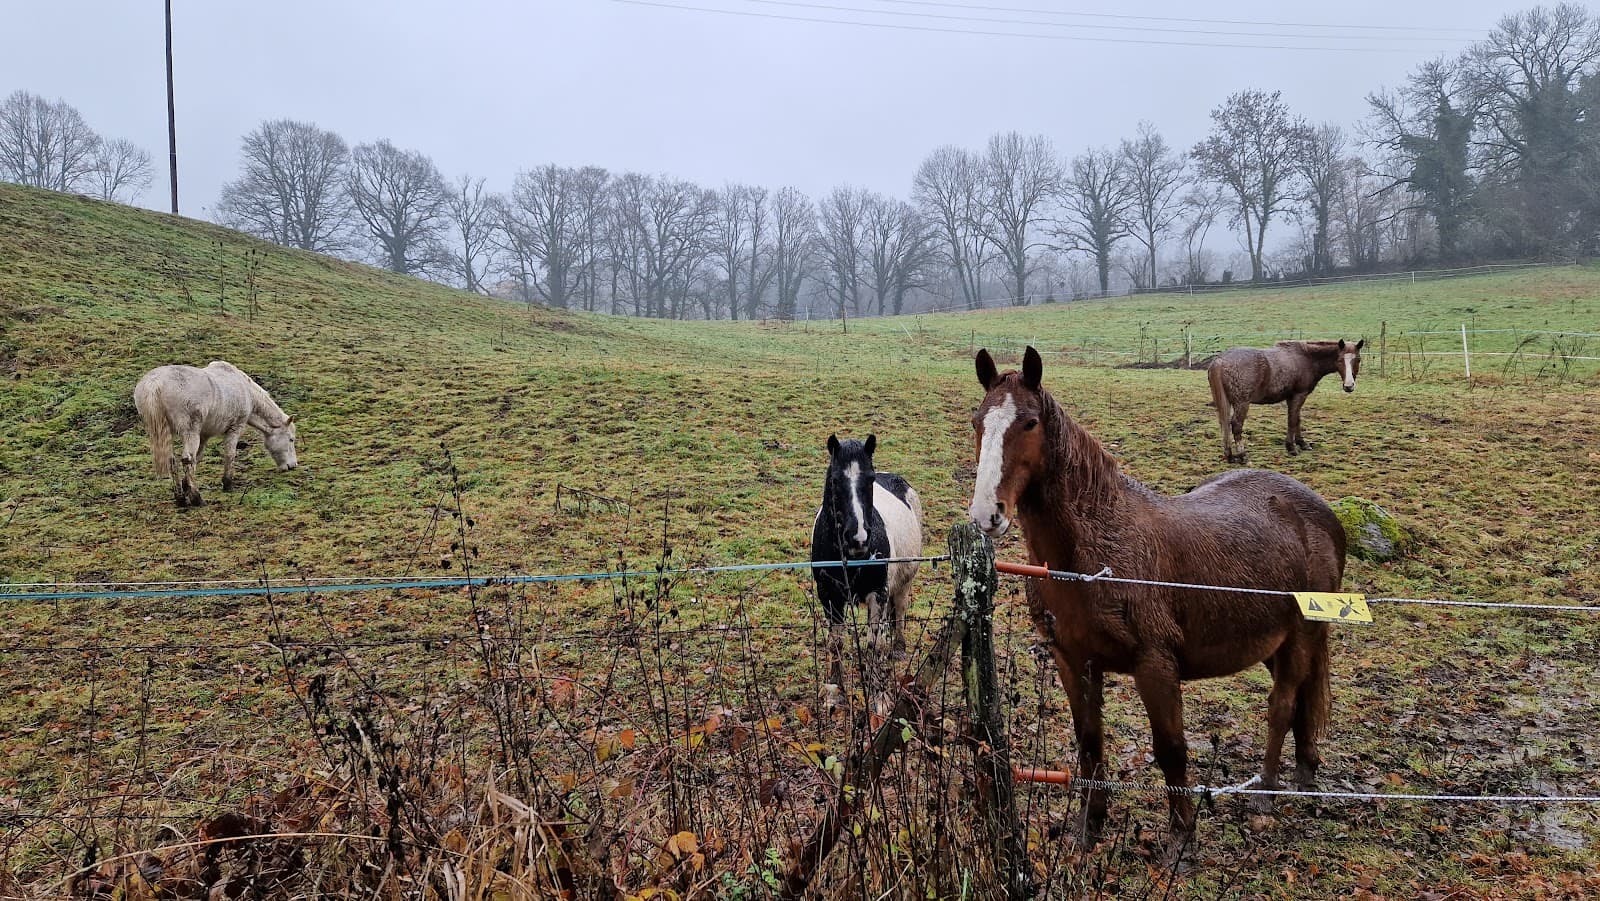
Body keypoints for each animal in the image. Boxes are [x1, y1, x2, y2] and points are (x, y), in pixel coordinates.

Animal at [133, 360, 298, 508]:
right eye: (291, 439)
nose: (292, 465)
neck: (245, 390)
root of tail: (155, 383)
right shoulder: (234, 429)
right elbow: (229, 455)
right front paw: (227, 484)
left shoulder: (203, 435)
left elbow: (197, 458)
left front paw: (186, 487)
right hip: (190, 431)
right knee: (186, 459)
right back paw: (197, 499)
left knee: (173, 462)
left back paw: (180, 499)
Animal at [811, 434, 923, 711]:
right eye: (835, 480)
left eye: (870, 479)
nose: (858, 538)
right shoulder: (829, 596)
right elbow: (836, 642)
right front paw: (835, 691)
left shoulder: (878, 594)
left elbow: (875, 644)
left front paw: (880, 698)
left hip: (903, 584)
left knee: (899, 612)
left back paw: (899, 647)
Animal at [968, 347, 1343, 864]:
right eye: (977, 423)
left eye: (1028, 423)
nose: (988, 514)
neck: (1095, 556)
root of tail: (1321, 511)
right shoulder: (1073, 661)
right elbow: (1089, 745)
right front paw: (1088, 828)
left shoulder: (1155, 666)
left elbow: (1171, 751)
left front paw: (1181, 842)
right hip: (1274, 642)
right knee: (1302, 699)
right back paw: (1305, 774)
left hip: (1302, 635)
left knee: (1283, 704)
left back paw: (1267, 792)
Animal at [1207, 339, 1364, 463]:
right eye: (1340, 360)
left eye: (1358, 359)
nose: (1349, 386)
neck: (1307, 358)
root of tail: (1219, 361)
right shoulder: (1299, 395)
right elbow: (1292, 420)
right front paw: (1291, 448)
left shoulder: (1293, 397)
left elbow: (1297, 419)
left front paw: (1302, 443)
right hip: (1242, 403)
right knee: (1236, 425)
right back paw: (1242, 455)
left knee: (1224, 424)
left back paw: (1229, 455)